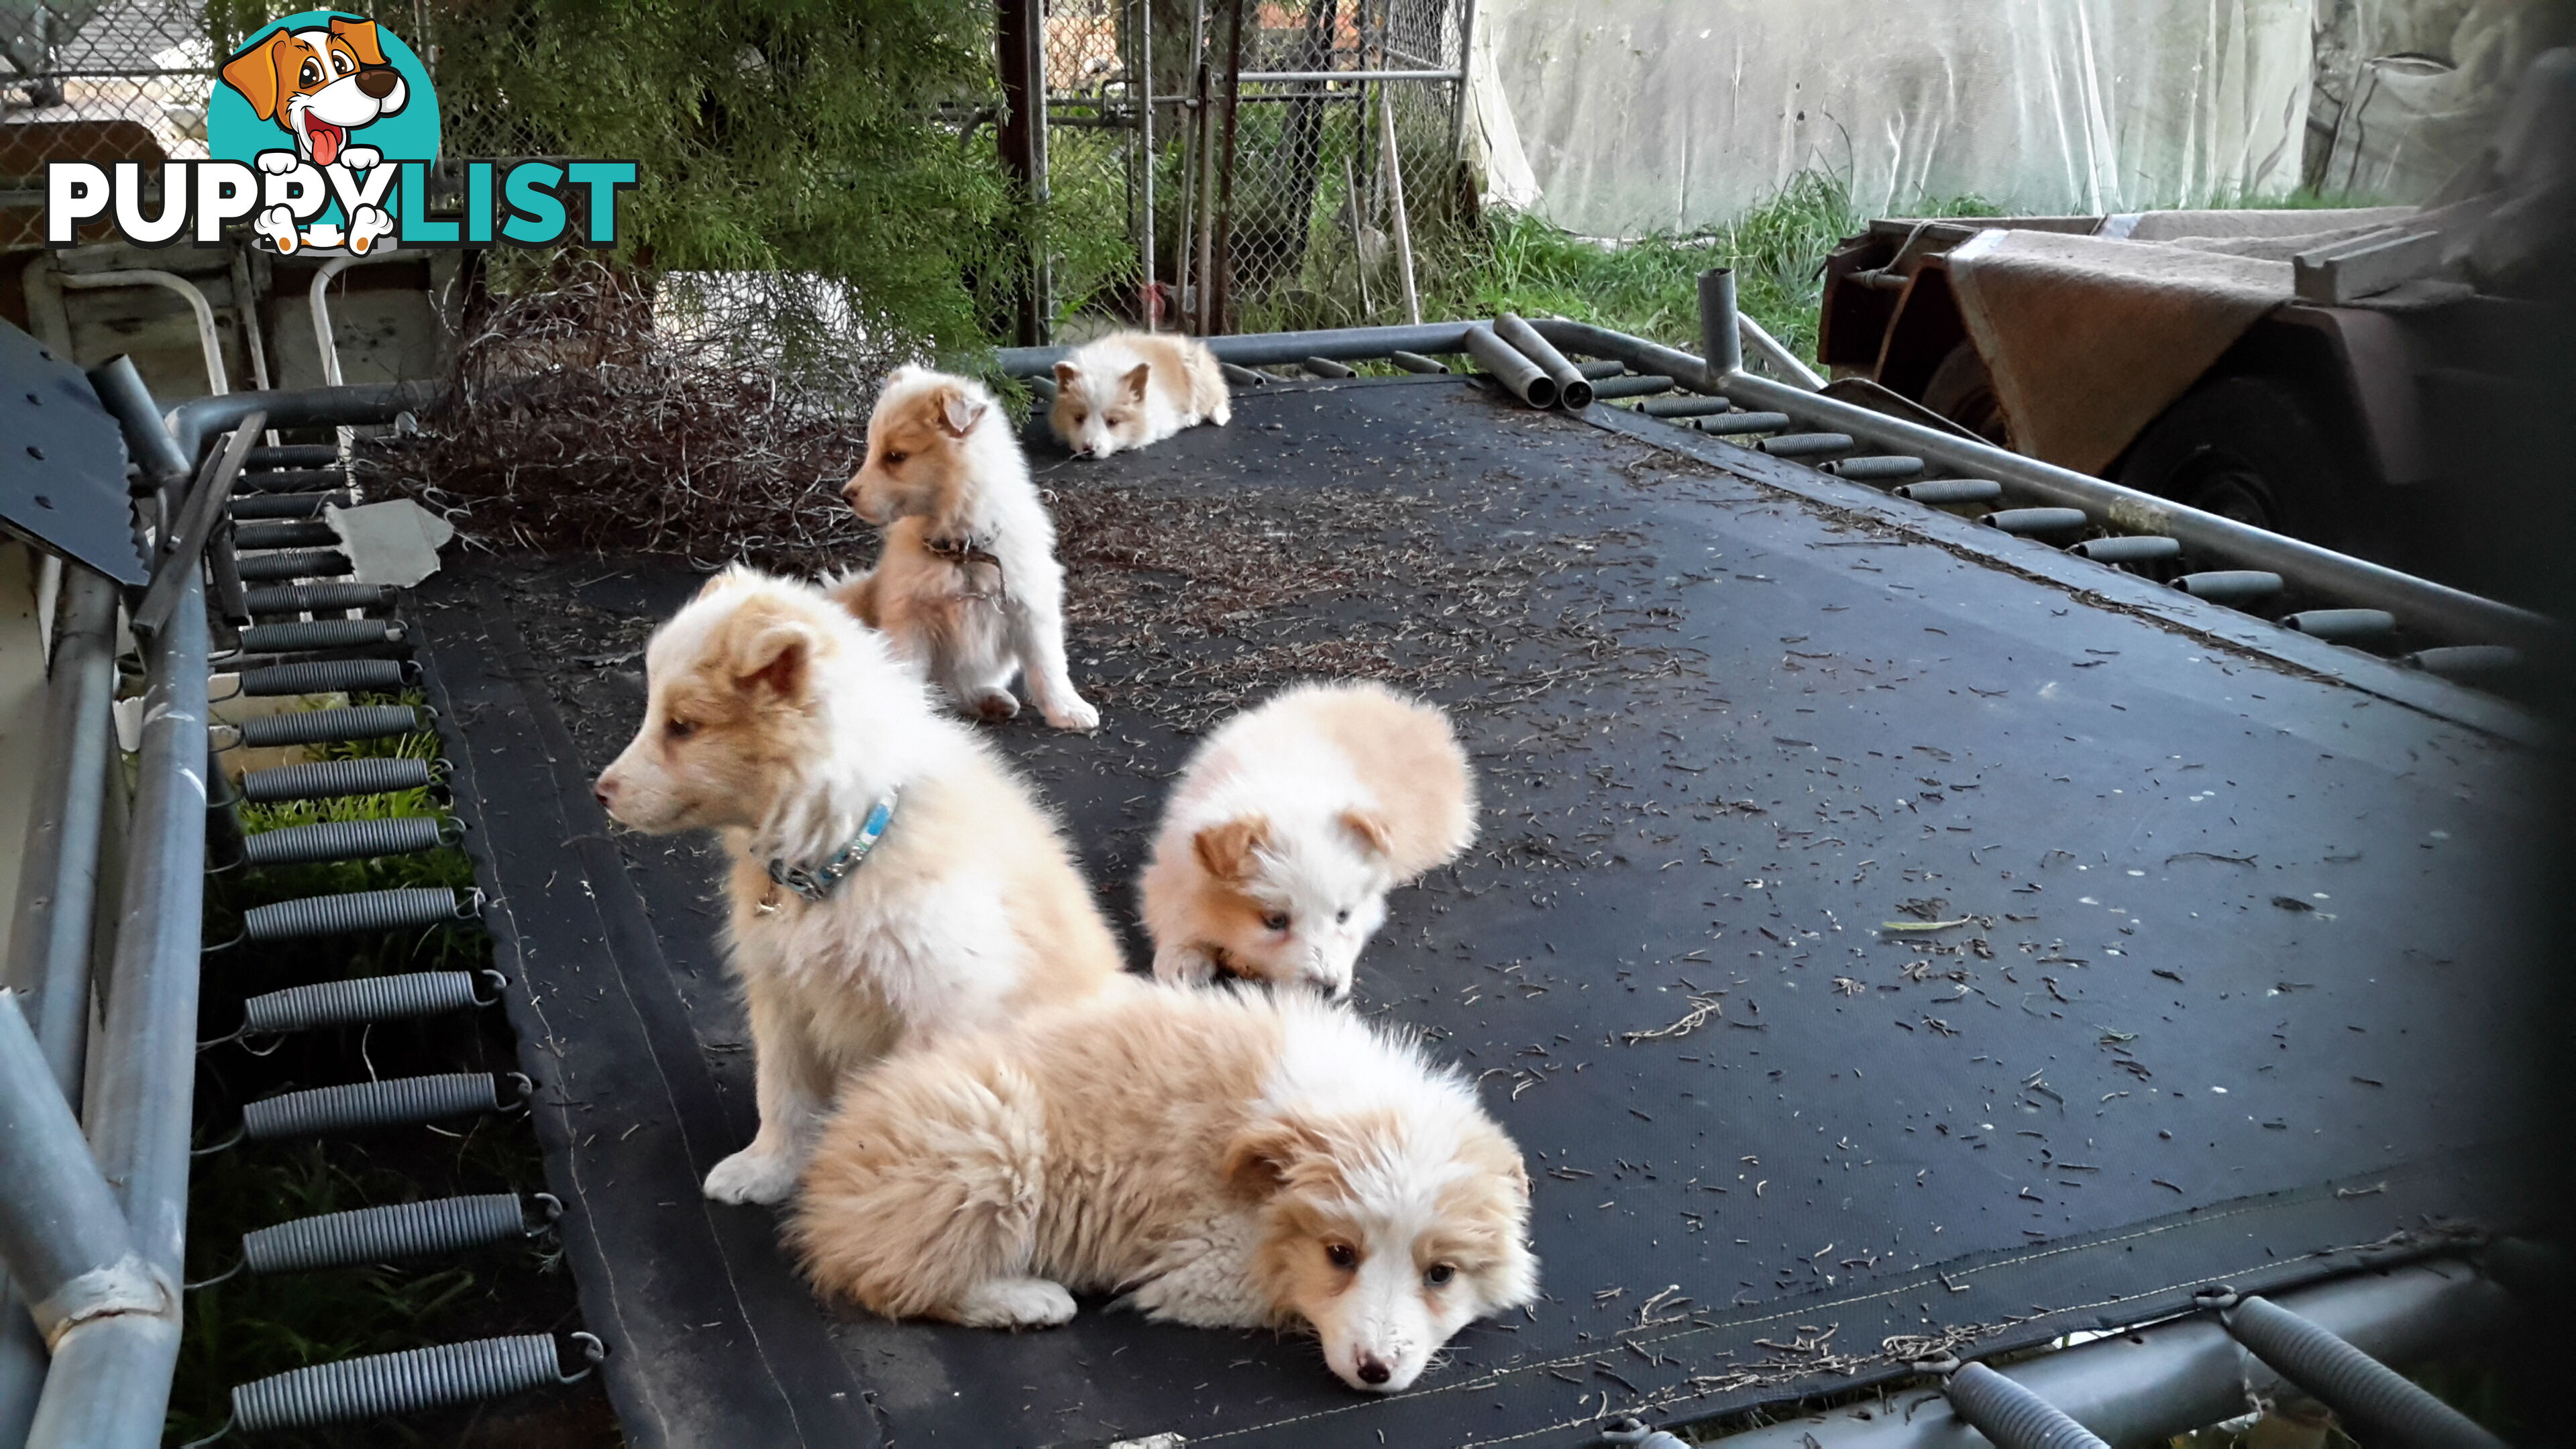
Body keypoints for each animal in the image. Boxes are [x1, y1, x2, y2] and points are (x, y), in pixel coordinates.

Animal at [608, 561, 1133, 1196]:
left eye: (684, 726)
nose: (601, 792)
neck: (844, 849)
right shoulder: (783, 995)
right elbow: (782, 1094)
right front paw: (767, 1169)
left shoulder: (940, 1006)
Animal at [793, 979, 1535, 1392]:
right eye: (1339, 1255)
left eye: (1441, 1274)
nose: (1375, 1370)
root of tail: (825, 1179)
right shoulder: (1206, 1263)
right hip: (989, 1143)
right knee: (896, 1281)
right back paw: (1028, 1300)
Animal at [1143, 680, 1483, 1000]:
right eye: (1275, 921)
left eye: (1343, 916)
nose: (1327, 989)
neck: (1281, 791)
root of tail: (1418, 715)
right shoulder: (1171, 864)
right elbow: (1176, 911)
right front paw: (1183, 959)